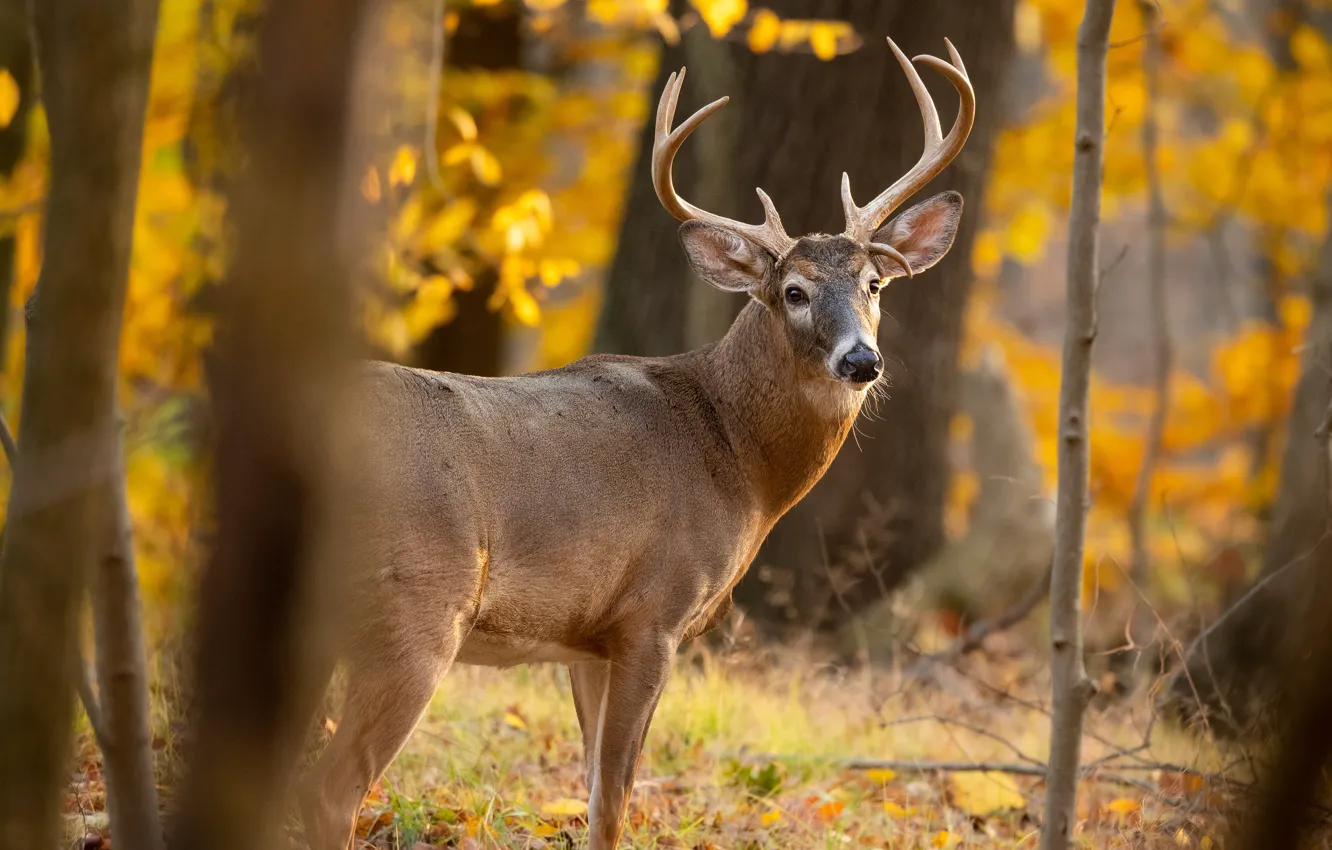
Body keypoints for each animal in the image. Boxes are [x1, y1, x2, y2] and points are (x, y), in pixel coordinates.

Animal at [299, 37, 974, 850]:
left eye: (875, 283)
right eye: (794, 292)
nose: (861, 361)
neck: (735, 458)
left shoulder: (589, 640)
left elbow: (592, 787)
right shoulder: (654, 614)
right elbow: (617, 795)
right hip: (417, 609)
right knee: (331, 792)